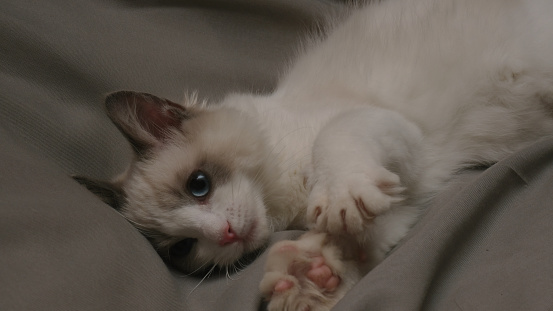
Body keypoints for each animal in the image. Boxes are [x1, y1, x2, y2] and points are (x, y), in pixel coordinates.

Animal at [76, 0, 552, 310]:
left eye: (199, 185)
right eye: (183, 248)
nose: (226, 234)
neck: (290, 203)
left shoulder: (385, 129)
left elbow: (333, 147)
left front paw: (337, 200)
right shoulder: (406, 198)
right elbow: (357, 245)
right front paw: (311, 279)